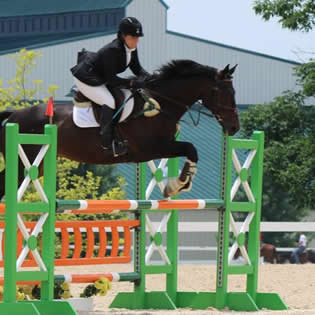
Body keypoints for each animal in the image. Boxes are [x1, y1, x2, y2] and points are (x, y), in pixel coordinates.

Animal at [0, 59, 239, 200]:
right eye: (225, 92)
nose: (235, 127)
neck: (161, 103)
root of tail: (13, 115)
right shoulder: (151, 148)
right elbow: (191, 148)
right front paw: (177, 184)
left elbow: (191, 150)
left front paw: (179, 183)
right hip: (23, 163)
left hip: (34, 165)